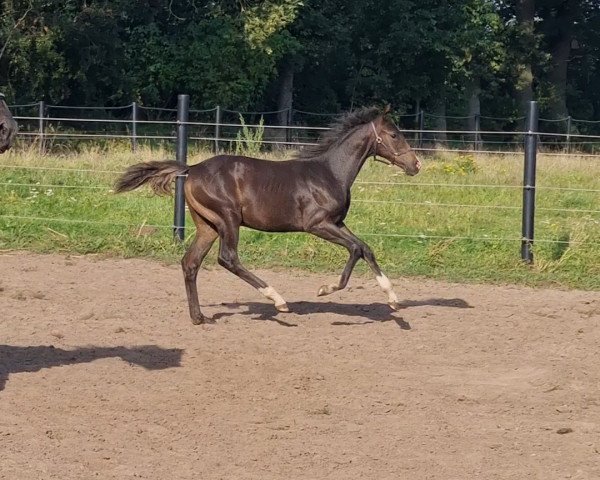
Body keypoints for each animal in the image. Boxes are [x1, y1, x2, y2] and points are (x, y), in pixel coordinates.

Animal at [116, 105, 422, 322]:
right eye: (394, 135)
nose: (416, 164)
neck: (330, 172)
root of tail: (191, 168)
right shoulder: (318, 224)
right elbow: (356, 249)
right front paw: (326, 289)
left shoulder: (338, 222)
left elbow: (366, 248)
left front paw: (393, 298)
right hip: (227, 219)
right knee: (228, 258)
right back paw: (278, 300)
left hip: (207, 225)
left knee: (190, 263)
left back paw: (199, 317)